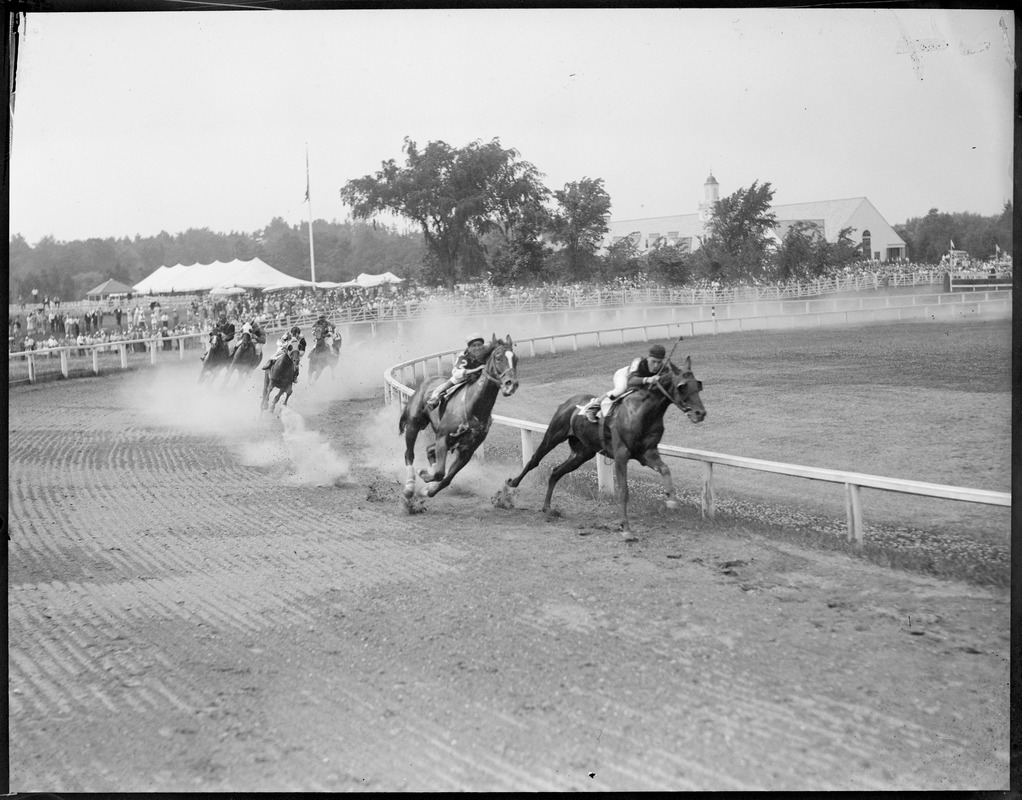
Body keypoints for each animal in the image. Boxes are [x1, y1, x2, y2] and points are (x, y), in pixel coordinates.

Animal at [398, 337, 519, 500]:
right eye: (498, 358)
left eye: (515, 359)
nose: (511, 384)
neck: (473, 407)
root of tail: (427, 381)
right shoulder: (443, 437)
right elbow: (439, 473)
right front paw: (423, 474)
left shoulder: (467, 450)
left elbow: (445, 478)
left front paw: (428, 489)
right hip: (414, 424)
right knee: (409, 454)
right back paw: (409, 487)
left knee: (429, 450)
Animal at [500, 357, 707, 539]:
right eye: (682, 386)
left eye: (698, 385)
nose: (700, 413)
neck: (644, 412)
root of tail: (569, 402)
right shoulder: (621, 455)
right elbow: (623, 492)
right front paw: (626, 528)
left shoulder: (647, 453)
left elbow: (665, 469)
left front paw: (672, 500)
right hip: (553, 435)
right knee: (534, 460)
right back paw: (512, 484)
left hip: (582, 453)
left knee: (556, 472)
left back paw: (548, 508)